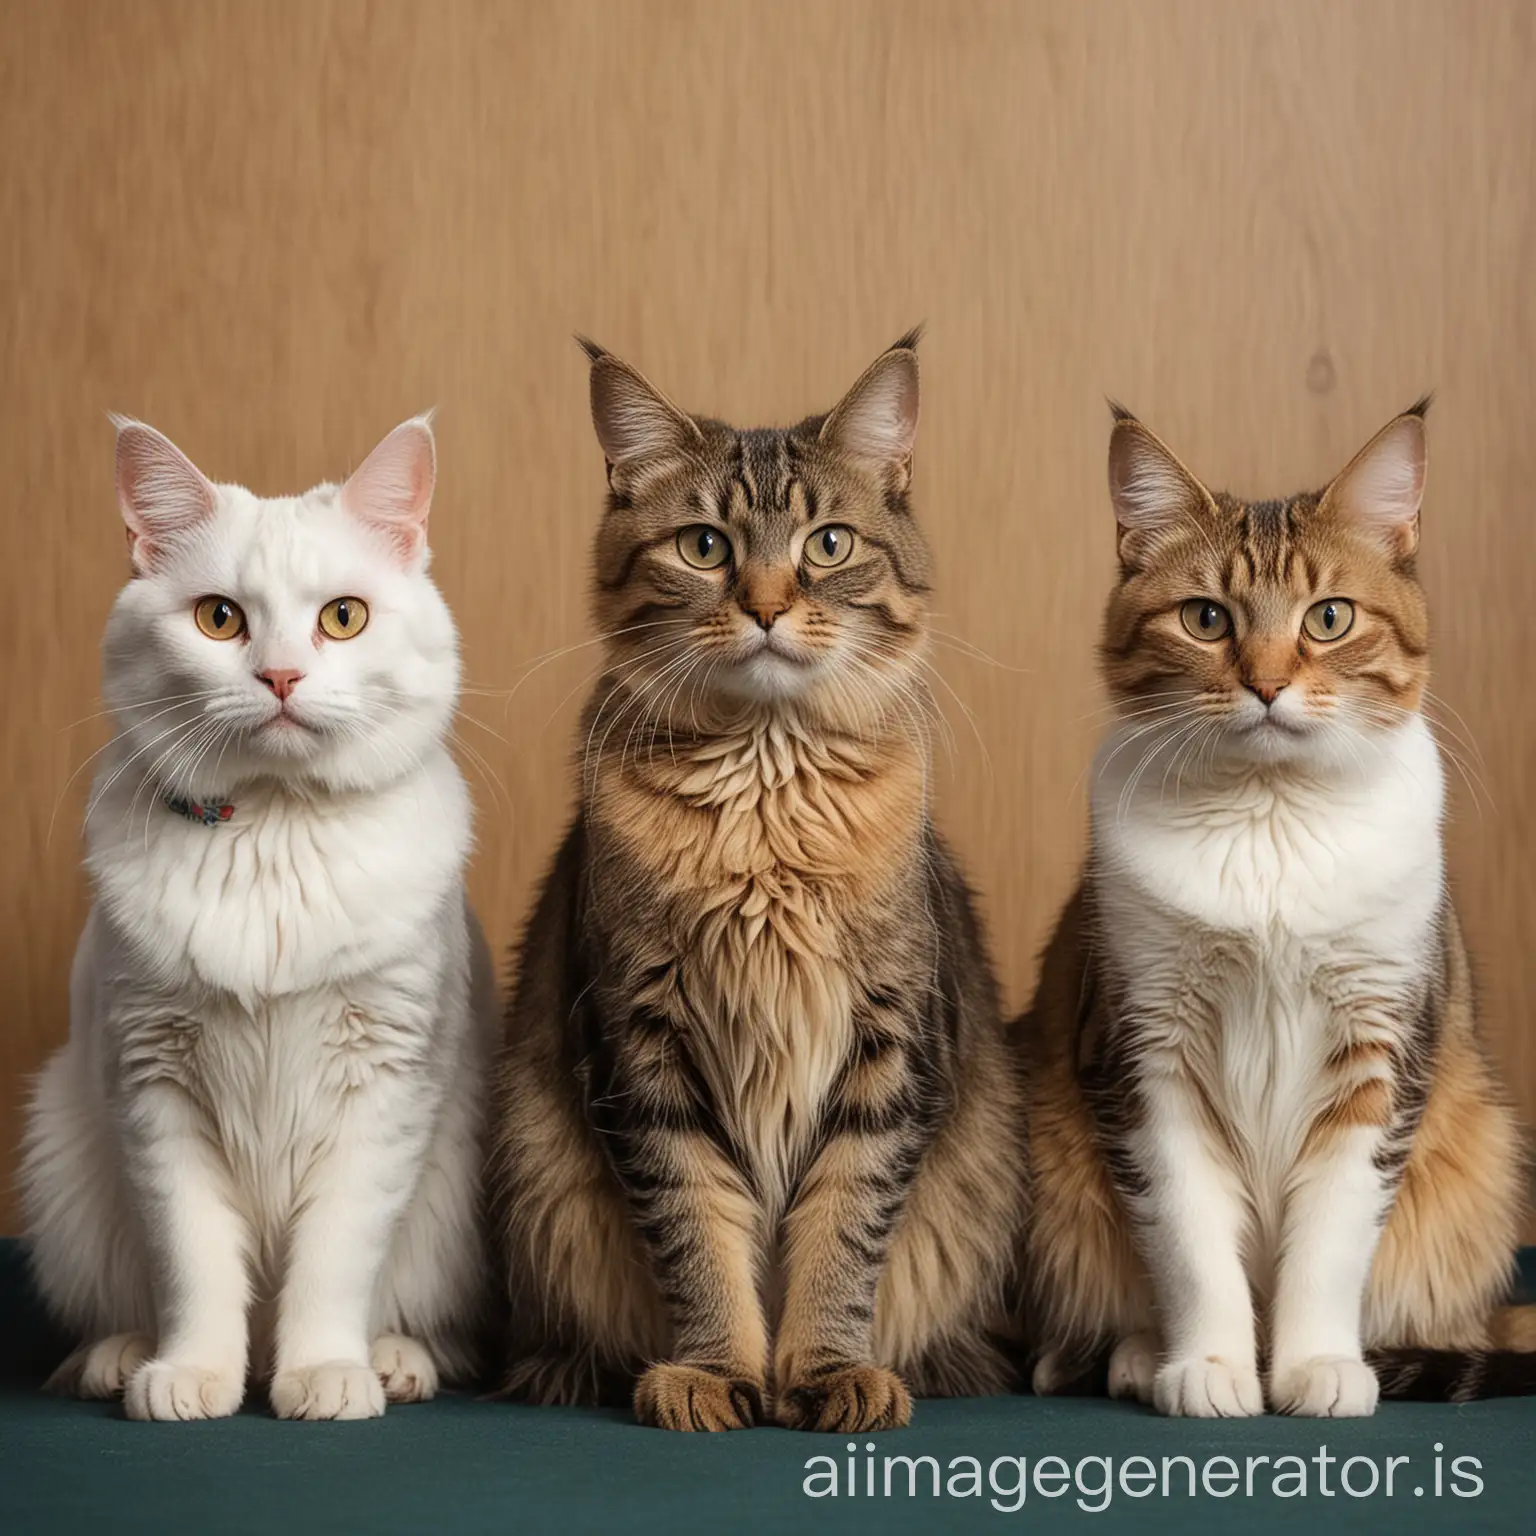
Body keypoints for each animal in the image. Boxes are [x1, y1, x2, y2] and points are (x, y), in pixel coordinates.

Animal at [19, 414, 497, 1419]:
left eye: (343, 617)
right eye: (219, 618)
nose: (281, 676)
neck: (275, 834)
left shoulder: (385, 1085)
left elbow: (334, 1259)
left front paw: (322, 1372)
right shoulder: (153, 1087)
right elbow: (193, 1260)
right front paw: (193, 1373)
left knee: (427, 1316)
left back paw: (394, 1360)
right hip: (65, 1163)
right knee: (122, 1301)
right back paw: (119, 1357)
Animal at [485, 330, 1026, 1431]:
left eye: (828, 545)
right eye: (704, 547)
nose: (769, 607)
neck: (768, 808)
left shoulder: (889, 1048)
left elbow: (842, 1233)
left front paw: (820, 1370)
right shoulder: (639, 1048)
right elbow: (697, 1231)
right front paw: (721, 1370)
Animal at [1019, 399, 1536, 1413]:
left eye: (1329, 618)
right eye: (1205, 618)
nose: (1265, 683)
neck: (1270, 820)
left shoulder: (1381, 1049)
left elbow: (1332, 1237)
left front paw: (1314, 1366)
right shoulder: (1144, 1049)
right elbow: (1188, 1236)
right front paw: (1212, 1365)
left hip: (1480, 1157)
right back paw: (1138, 1354)